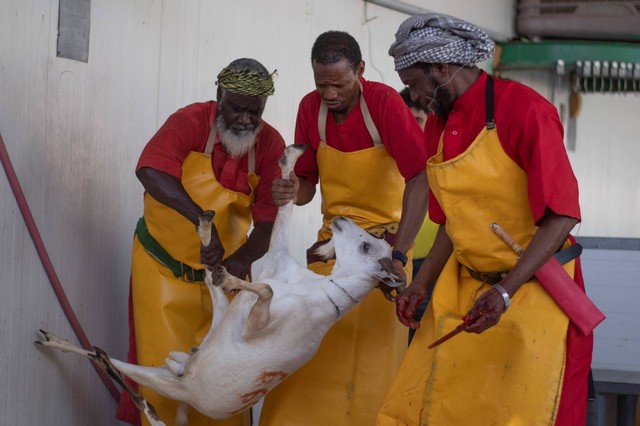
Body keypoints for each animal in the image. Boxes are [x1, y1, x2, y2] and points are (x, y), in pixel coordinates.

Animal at [35, 145, 402, 424]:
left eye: (367, 246)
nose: (341, 219)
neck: (315, 289)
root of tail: (183, 373)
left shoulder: (260, 326)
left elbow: (266, 290)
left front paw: (228, 274)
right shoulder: (276, 259)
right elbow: (280, 220)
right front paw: (291, 158)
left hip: (172, 386)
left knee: (139, 396)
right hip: (192, 348)